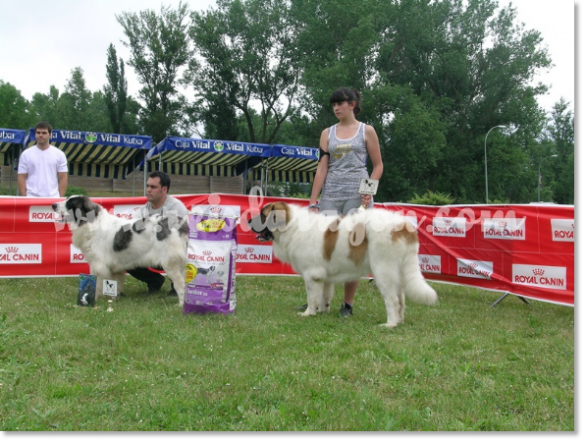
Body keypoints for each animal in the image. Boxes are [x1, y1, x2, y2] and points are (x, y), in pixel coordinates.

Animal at [53, 195, 187, 306]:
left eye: (70, 204)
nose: (53, 205)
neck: (91, 221)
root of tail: (179, 222)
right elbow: (115, 283)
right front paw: (114, 298)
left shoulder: (98, 264)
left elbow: (97, 283)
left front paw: (93, 299)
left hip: (170, 263)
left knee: (180, 284)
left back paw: (180, 305)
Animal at [246, 202, 434, 326]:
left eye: (262, 215)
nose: (247, 221)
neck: (291, 226)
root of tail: (404, 225)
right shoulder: (323, 276)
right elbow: (324, 296)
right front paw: (322, 311)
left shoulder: (312, 275)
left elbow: (312, 296)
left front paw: (308, 313)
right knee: (401, 299)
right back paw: (399, 321)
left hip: (383, 271)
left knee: (393, 299)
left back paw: (390, 324)